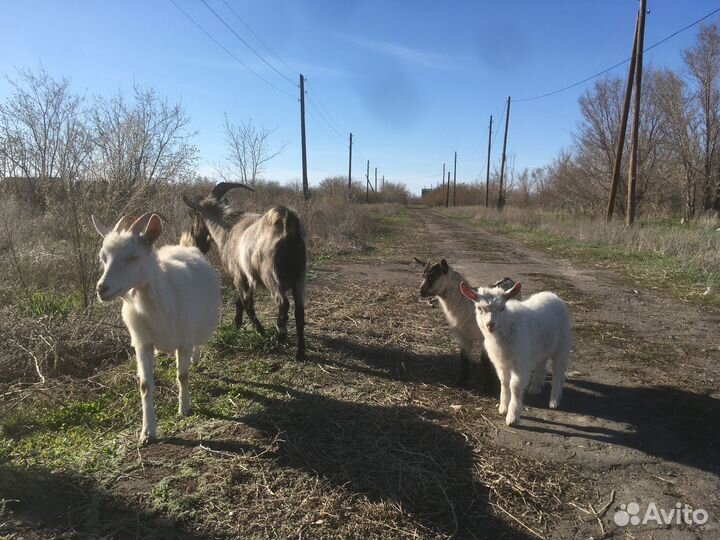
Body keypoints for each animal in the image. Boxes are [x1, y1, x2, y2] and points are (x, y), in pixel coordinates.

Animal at [92, 212, 221, 444]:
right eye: (103, 258)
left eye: (133, 257)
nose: (101, 289)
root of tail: (186, 247)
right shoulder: (143, 343)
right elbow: (145, 385)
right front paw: (147, 432)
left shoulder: (184, 340)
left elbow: (182, 376)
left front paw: (184, 408)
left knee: (198, 342)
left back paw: (196, 358)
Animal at [182, 182, 307, 360]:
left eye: (195, 216)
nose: (196, 243)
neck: (228, 228)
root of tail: (286, 223)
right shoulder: (246, 277)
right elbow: (239, 300)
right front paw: (237, 324)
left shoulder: (239, 276)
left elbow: (247, 303)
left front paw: (260, 331)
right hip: (300, 277)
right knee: (299, 311)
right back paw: (300, 352)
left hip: (271, 275)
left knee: (283, 302)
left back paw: (280, 335)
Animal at [414, 257, 516, 393]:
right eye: (423, 275)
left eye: (433, 277)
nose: (421, 291)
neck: (465, 304)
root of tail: (507, 279)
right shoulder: (463, 336)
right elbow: (464, 357)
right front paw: (461, 382)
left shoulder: (484, 337)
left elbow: (485, 360)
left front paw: (488, 387)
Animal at [459, 281, 571, 426]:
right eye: (479, 308)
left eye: (502, 308)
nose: (490, 324)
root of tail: (553, 296)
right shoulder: (501, 363)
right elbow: (504, 381)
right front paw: (503, 408)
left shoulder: (520, 363)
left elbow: (514, 386)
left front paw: (512, 416)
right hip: (542, 346)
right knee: (542, 363)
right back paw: (535, 387)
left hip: (562, 345)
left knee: (558, 371)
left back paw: (554, 401)